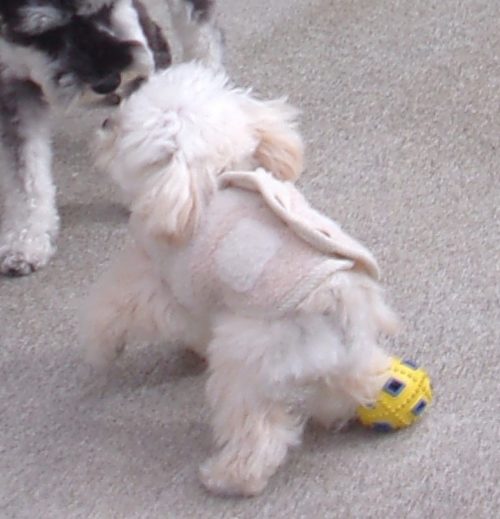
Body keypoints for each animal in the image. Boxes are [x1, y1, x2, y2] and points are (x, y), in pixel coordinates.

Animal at [0, 0, 222, 276]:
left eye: (103, 9)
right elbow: (24, 174)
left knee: (202, 35)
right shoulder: (11, 81)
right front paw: (26, 238)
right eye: (44, 34)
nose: (108, 82)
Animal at [81, 61, 400, 496]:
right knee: (351, 385)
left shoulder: (164, 281)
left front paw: (101, 349)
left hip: (244, 366)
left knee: (258, 435)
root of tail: (331, 297)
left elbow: (113, 309)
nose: (105, 121)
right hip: (348, 354)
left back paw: (227, 477)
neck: (216, 175)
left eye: (124, 130)